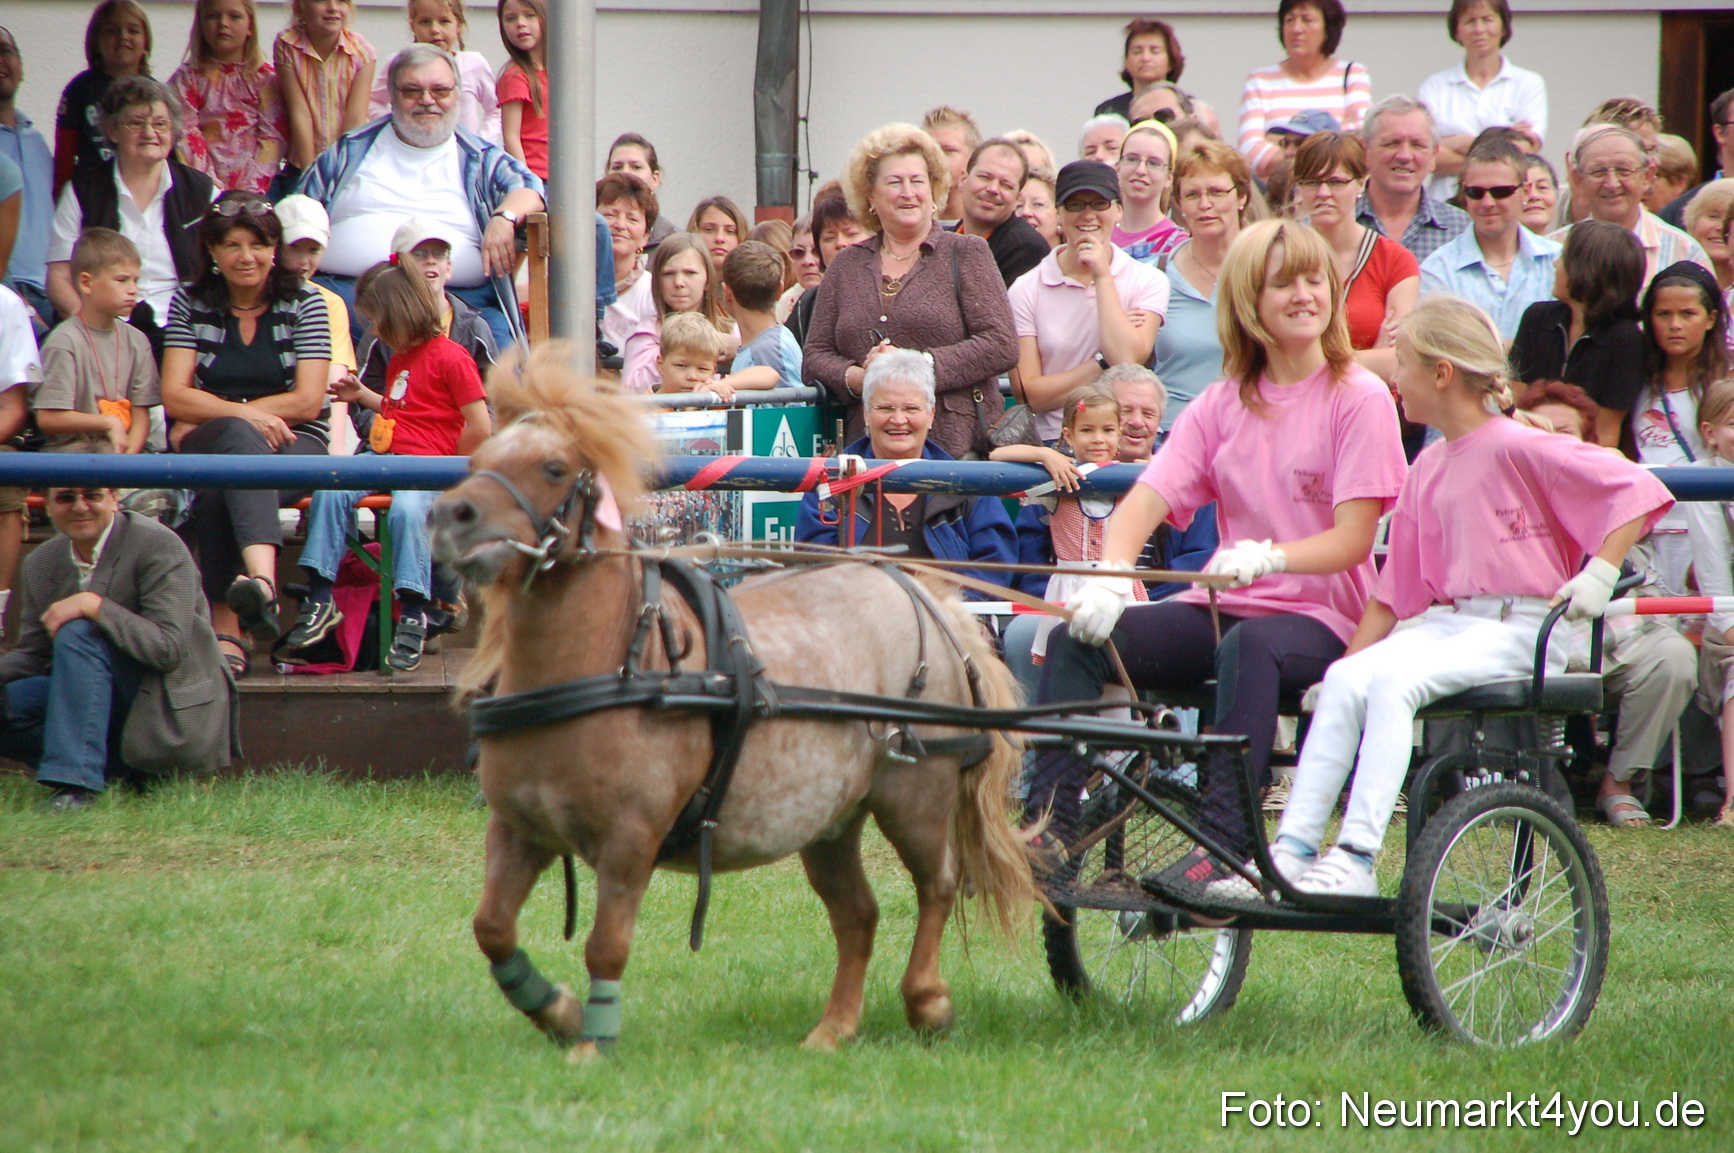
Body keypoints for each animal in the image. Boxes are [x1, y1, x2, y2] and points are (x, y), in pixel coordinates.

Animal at [428, 345, 1038, 1060]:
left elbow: (606, 947)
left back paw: (927, 1001)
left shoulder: (629, 839)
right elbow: (492, 928)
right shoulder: (518, 828)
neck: (606, 662)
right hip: (829, 819)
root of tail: (923, 595)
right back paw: (834, 1028)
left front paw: (592, 1041)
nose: (449, 518)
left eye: (554, 467)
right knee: (858, 914)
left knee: (936, 885)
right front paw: (560, 1012)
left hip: (914, 795)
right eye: (477, 457)